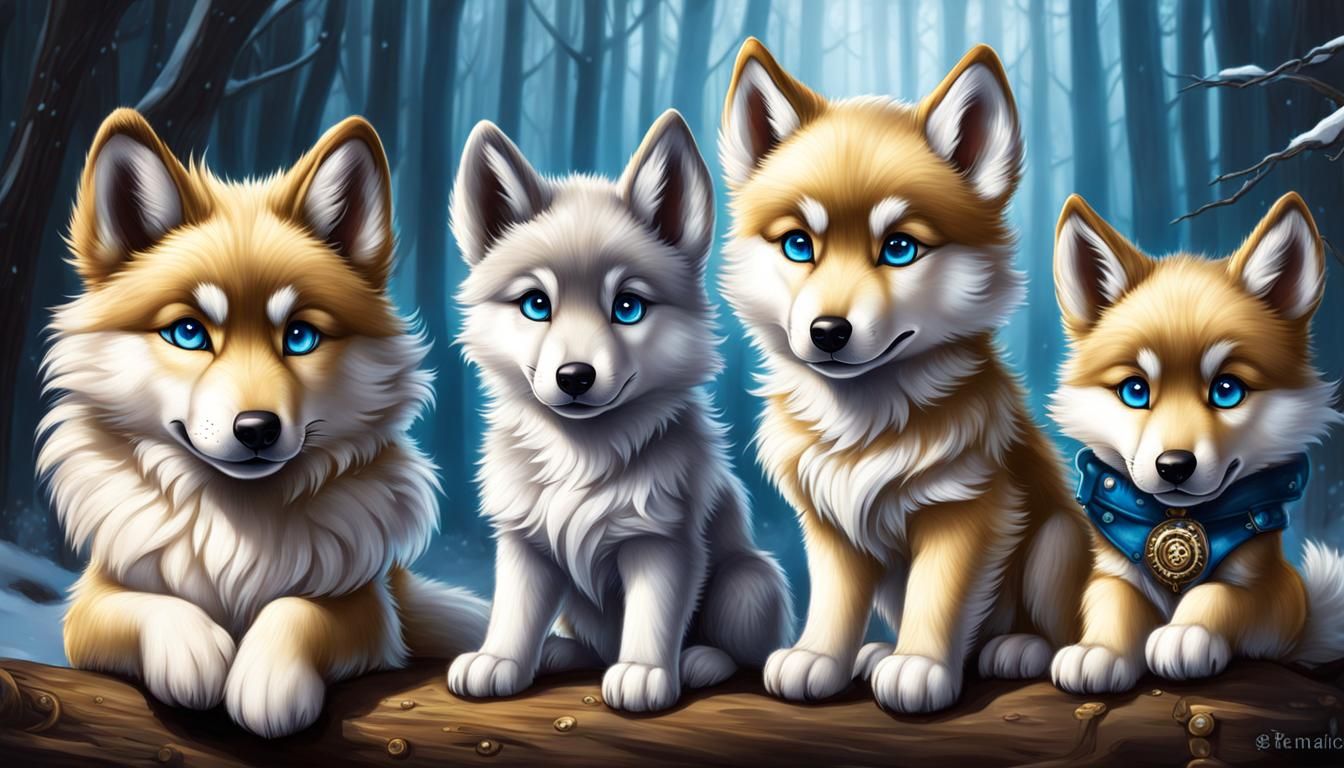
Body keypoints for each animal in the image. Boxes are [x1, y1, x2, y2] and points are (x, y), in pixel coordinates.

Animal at [39, 109, 489, 738]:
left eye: (299, 336)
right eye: (188, 333)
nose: (256, 429)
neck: (239, 526)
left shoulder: (370, 608)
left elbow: (300, 609)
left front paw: (267, 680)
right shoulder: (90, 604)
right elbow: (146, 605)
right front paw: (192, 650)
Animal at [447, 110, 793, 712]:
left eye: (628, 307)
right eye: (536, 304)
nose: (574, 377)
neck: (581, 458)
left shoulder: (663, 543)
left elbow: (653, 615)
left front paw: (644, 672)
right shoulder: (526, 544)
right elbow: (514, 612)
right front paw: (499, 661)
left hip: (748, 582)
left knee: (745, 652)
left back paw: (698, 661)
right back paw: (561, 652)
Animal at [718, 38, 1092, 713]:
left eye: (898, 248)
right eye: (797, 244)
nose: (828, 332)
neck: (864, 425)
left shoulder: (970, 509)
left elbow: (938, 596)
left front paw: (919, 665)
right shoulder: (831, 522)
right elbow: (836, 601)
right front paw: (820, 658)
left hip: (1054, 538)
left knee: (1055, 627)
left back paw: (1017, 648)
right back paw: (875, 653)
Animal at [1049, 192, 1344, 693]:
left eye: (1227, 390)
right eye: (1135, 390)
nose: (1174, 465)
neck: (1176, 519)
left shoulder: (1275, 591)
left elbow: (1220, 594)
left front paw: (1187, 631)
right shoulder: (1112, 571)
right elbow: (1111, 600)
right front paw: (1098, 650)